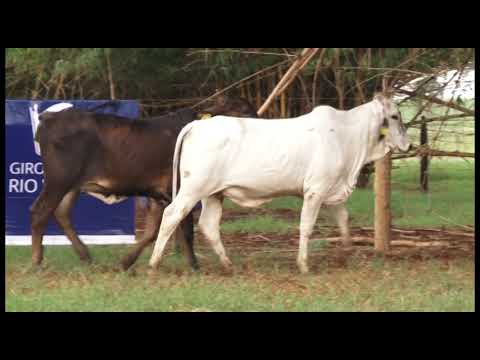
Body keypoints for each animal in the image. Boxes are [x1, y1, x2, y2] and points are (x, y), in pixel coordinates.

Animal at [149, 93, 408, 272]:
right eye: (395, 116)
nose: (409, 144)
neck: (348, 136)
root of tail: (198, 124)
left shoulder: (331, 190)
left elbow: (343, 219)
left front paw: (346, 252)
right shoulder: (315, 191)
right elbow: (306, 227)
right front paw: (303, 264)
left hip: (213, 194)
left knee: (208, 225)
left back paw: (228, 264)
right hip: (193, 189)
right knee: (172, 214)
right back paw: (154, 263)